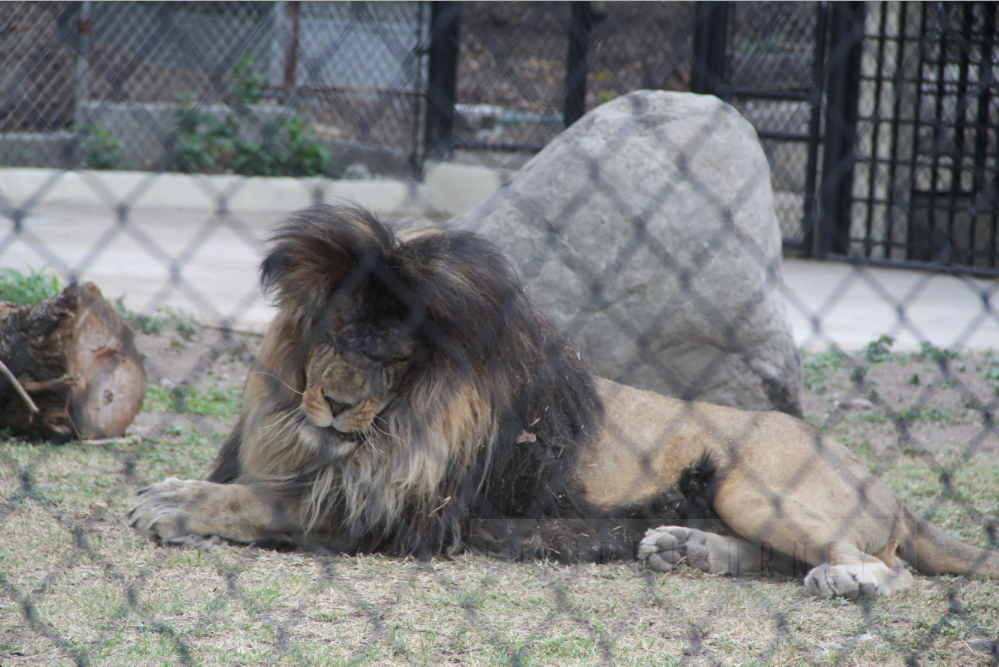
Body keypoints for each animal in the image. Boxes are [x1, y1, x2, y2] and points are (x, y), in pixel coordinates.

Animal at [129, 204, 999, 600]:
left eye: (396, 359)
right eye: (340, 332)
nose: (338, 404)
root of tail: (883, 481)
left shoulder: (399, 512)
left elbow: (260, 501)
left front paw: (172, 503)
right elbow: (261, 484)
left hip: (757, 485)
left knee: (886, 566)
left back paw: (843, 580)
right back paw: (687, 548)